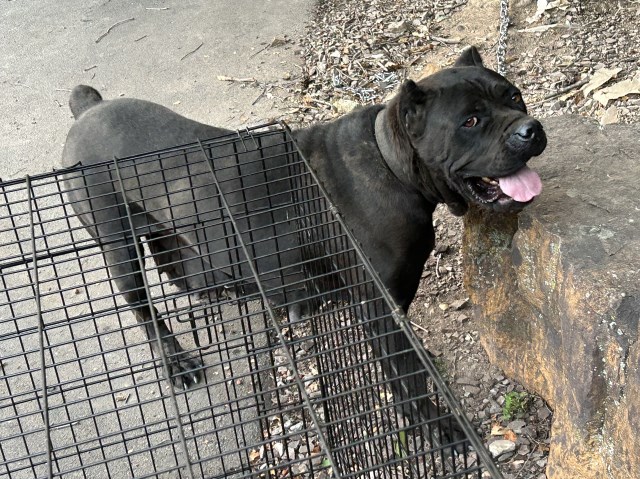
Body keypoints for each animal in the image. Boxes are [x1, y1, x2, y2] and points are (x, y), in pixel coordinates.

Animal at [62, 46, 548, 442]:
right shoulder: (381, 310)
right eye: (470, 121)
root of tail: (88, 109)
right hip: (116, 240)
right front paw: (435, 424)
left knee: (173, 258)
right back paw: (175, 360)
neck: (392, 165)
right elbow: (407, 375)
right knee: (142, 305)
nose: (530, 129)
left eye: (513, 97)